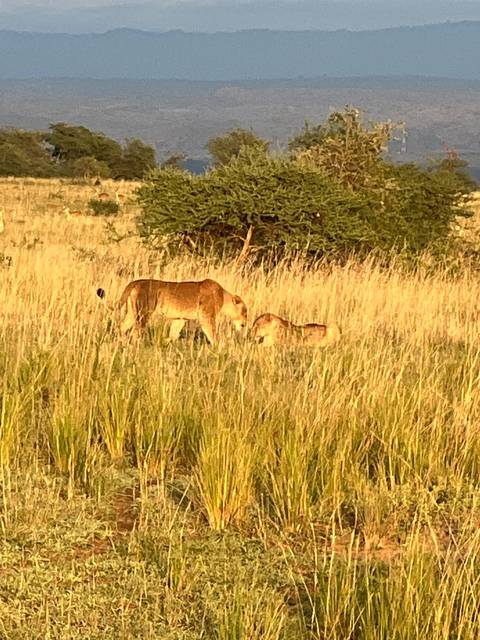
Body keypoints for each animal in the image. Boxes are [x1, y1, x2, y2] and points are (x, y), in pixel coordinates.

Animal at [96, 278, 248, 344]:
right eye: (245, 312)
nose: (245, 324)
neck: (223, 296)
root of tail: (135, 282)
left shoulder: (180, 318)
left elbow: (174, 334)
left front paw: (164, 341)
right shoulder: (206, 317)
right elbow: (213, 334)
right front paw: (221, 347)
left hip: (132, 313)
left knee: (121, 327)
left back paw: (121, 344)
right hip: (143, 312)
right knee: (135, 331)